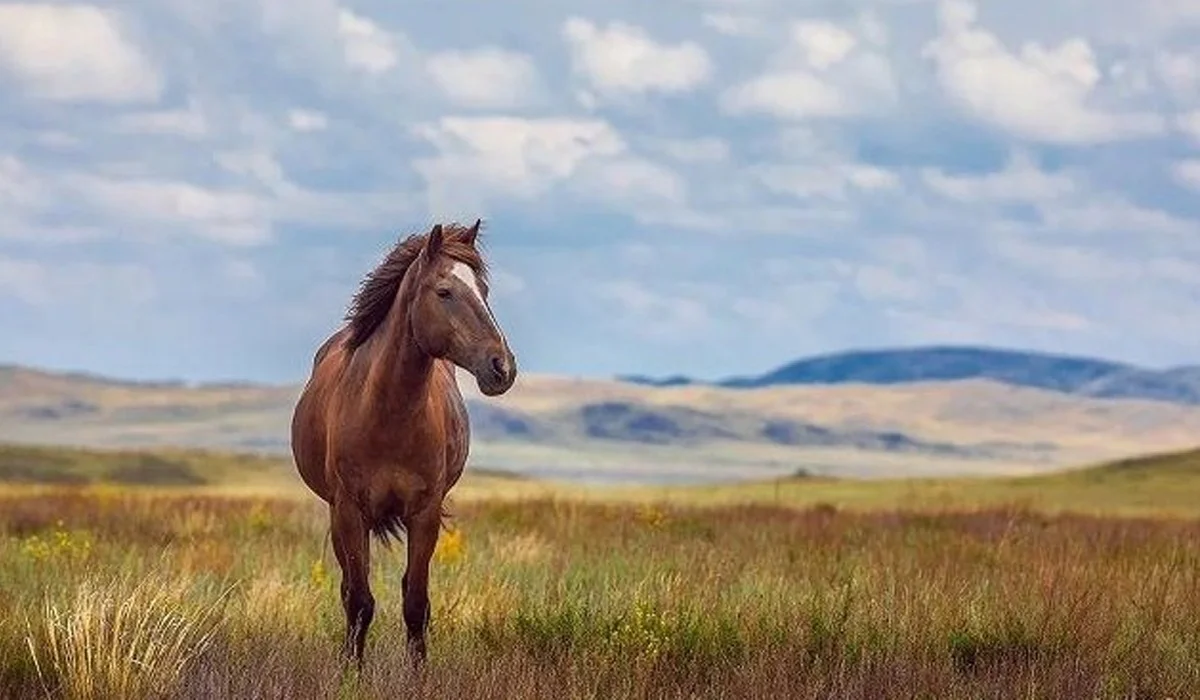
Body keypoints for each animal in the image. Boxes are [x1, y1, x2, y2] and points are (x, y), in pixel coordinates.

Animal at [292, 220, 518, 667]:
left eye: (484, 290)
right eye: (444, 291)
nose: (502, 367)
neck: (388, 414)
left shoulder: (424, 513)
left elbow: (416, 603)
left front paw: (418, 672)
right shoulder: (349, 512)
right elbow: (359, 601)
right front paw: (352, 672)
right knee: (348, 589)